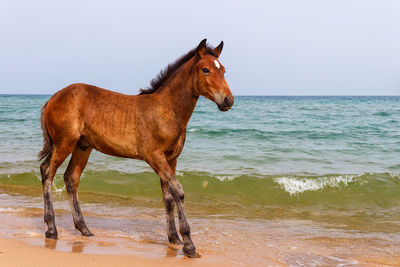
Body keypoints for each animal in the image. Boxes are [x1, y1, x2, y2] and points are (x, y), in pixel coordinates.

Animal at [38, 38, 234, 258]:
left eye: (223, 70)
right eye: (205, 69)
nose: (228, 100)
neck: (165, 109)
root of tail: (52, 98)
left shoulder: (171, 159)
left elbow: (168, 196)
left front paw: (174, 238)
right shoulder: (154, 156)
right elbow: (178, 190)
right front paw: (189, 245)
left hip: (82, 146)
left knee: (71, 178)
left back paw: (84, 228)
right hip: (64, 143)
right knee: (47, 171)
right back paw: (52, 229)